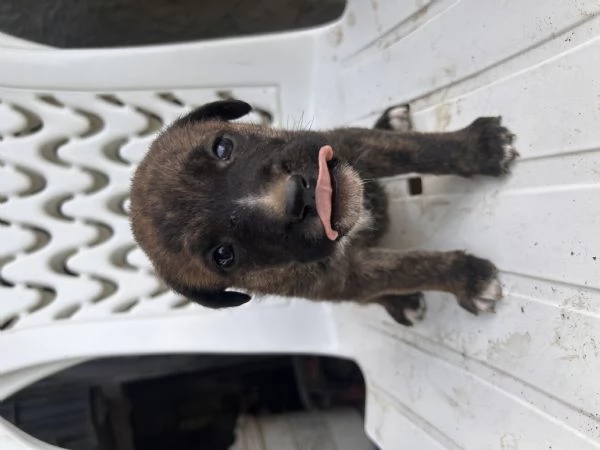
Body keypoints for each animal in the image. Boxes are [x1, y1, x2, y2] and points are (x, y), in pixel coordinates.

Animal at [130, 101, 516, 326]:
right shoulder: (346, 276)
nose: (297, 196)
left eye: (223, 146)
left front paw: (480, 148)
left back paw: (389, 121)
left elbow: (415, 150)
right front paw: (468, 279)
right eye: (224, 255)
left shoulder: (350, 145)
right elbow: (409, 269)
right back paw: (403, 303)